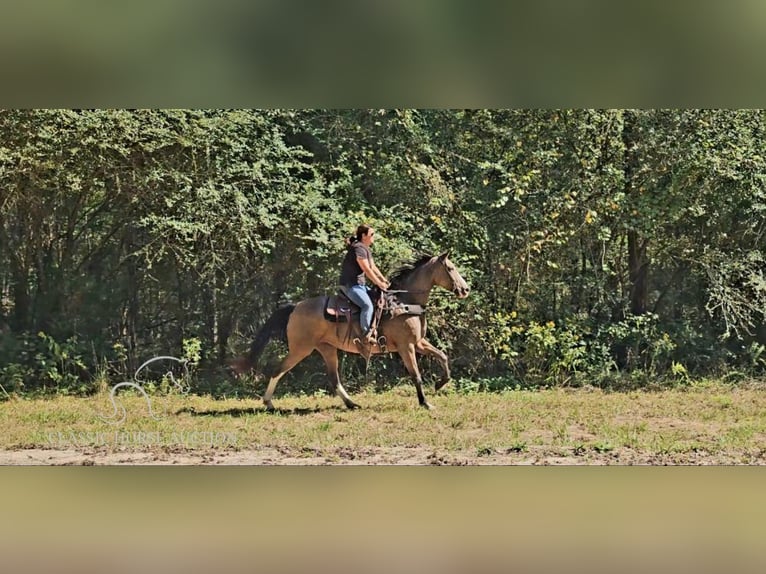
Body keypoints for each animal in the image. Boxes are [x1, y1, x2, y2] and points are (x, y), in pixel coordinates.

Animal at [230, 252, 468, 410]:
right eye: (450, 269)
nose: (465, 289)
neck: (405, 301)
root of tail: (295, 307)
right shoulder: (406, 346)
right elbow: (416, 375)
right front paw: (425, 403)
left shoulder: (418, 343)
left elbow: (443, 356)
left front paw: (439, 383)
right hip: (301, 349)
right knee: (277, 370)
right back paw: (269, 403)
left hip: (326, 349)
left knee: (334, 379)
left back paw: (352, 403)